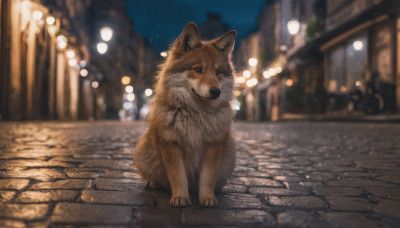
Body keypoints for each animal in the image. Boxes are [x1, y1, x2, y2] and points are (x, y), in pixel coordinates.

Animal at [133, 22, 236, 208]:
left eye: (218, 72)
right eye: (197, 69)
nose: (216, 91)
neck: (196, 114)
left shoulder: (213, 146)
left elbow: (208, 178)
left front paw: (207, 198)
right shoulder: (171, 145)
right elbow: (178, 177)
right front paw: (180, 197)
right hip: (143, 152)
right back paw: (153, 183)